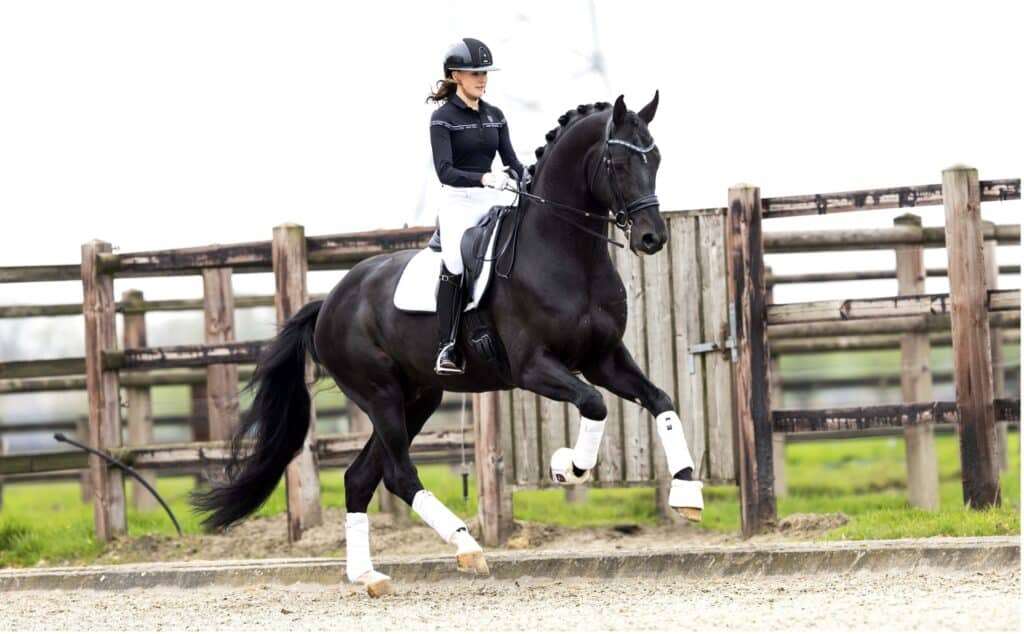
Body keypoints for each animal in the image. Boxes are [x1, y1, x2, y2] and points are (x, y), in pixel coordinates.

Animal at [191, 92, 704, 597]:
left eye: (656, 157)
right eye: (616, 163)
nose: (652, 237)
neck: (567, 254)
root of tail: (331, 300)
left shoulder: (604, 359)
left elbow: (661, 400)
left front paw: (686, 492)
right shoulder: (534, 368)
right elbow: (594, 404)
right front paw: (568, 468)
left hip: (418, 398)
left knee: (360, 478)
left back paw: (369, 575)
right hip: (380, 395)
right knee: (399, 474)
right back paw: (465, 545)